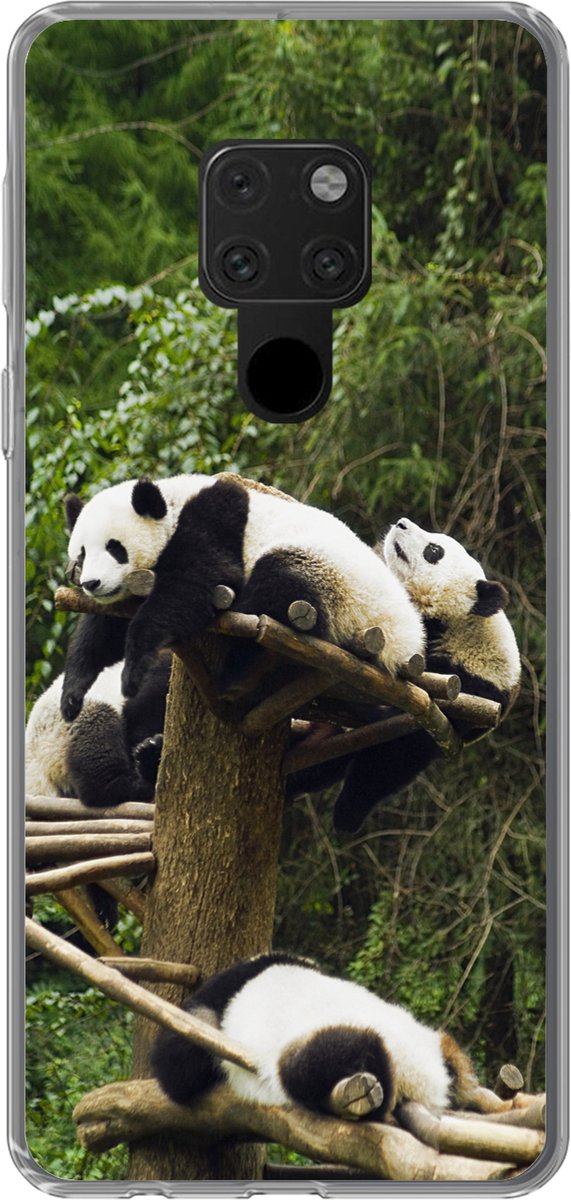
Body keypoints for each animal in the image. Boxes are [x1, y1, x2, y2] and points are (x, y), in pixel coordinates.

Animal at [60, 473, 425, 718]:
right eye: (82, 553)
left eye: (114, 548)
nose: (92, 583)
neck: (174, 501)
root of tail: (405, 641)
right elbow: (103, 628)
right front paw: (73, 695)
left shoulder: (214, 519)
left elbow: (198, 581)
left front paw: (133, 672)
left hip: (337, 583)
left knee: (276, 585)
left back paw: (235, 672)